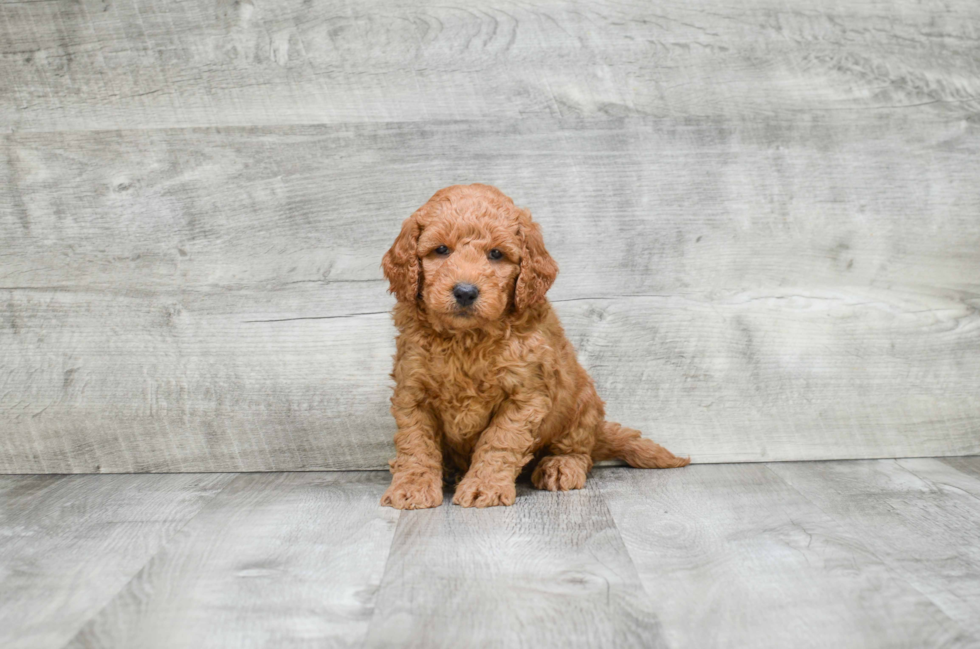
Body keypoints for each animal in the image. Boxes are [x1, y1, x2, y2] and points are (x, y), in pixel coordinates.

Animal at [378, 185, 684, 508]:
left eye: (496, 254)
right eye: (441, 250)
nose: (465, 292)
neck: (467, 338)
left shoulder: (525, 395)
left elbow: (499, 441)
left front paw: (483, 486)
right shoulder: (413, 391)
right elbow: (416, 443)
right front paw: (412, 486)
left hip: (581, 403)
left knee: (579, 450)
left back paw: (560, 466)